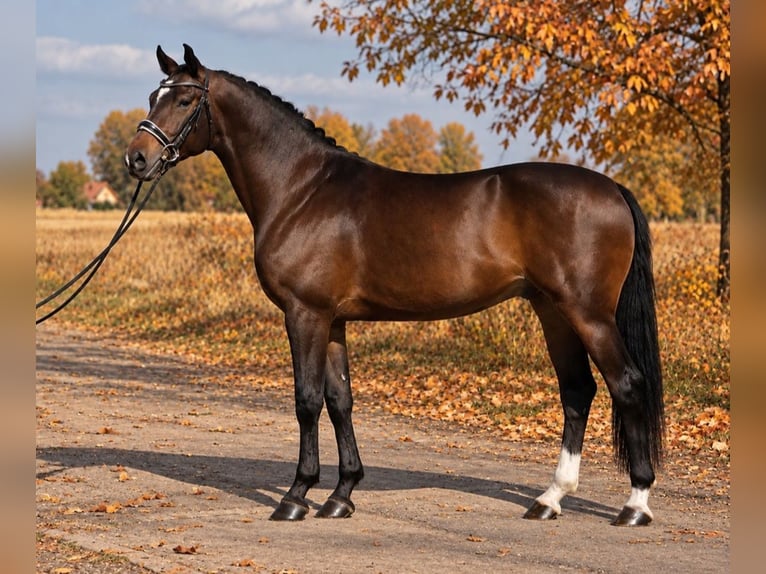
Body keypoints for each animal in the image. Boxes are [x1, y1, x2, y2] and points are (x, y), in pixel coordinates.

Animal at [126, 44, 664, 526]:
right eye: (153, 94)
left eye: (183, 100)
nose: (137, 158)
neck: (302, 189)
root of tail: (612, 187)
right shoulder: (333, 321)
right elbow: (340, 402)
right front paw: (341, 495)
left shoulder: (305, 314)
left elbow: (306, 400)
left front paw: (296, 496)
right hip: (553, 310)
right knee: (577, 391)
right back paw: (550, 499)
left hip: (587, 313)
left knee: (626, 384)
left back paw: (635, 505)